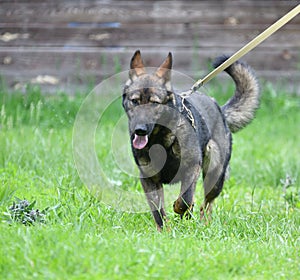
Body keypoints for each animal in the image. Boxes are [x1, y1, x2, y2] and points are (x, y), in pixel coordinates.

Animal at [122, 50, 260, 230]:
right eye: (135, 101)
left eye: (154, 103)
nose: (140, 130)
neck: (160, 138)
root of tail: (220, 111)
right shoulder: (149, 179)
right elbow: (158, 210)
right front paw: (164, 231)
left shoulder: (191, 168)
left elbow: (185, 200)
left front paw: (179, 209)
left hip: (215, 176)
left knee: (207, 204)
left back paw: (204, 224)